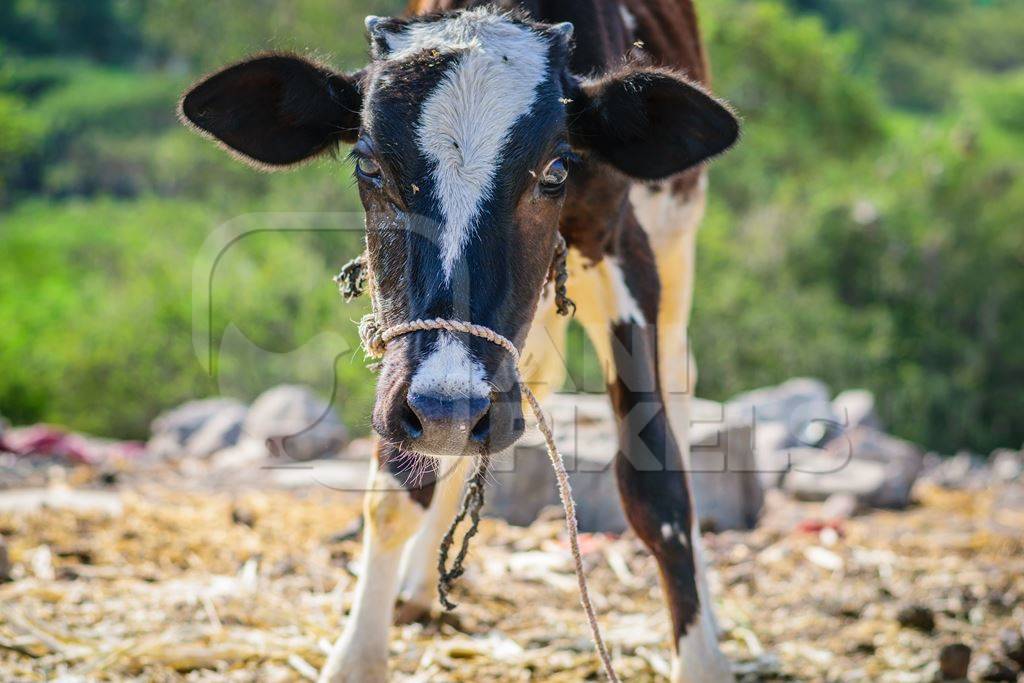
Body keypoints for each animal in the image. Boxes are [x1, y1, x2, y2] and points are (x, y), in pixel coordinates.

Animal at [176, 2, 737, 679]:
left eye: (557, 171)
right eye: (368, 166)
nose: (449, 406)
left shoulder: (627, 250)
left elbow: (658, 489)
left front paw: (701, 656)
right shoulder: (412, 385)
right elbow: (394, 490)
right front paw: (358, 655)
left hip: (675, 246)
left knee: (677, 385)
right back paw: (420, 584)